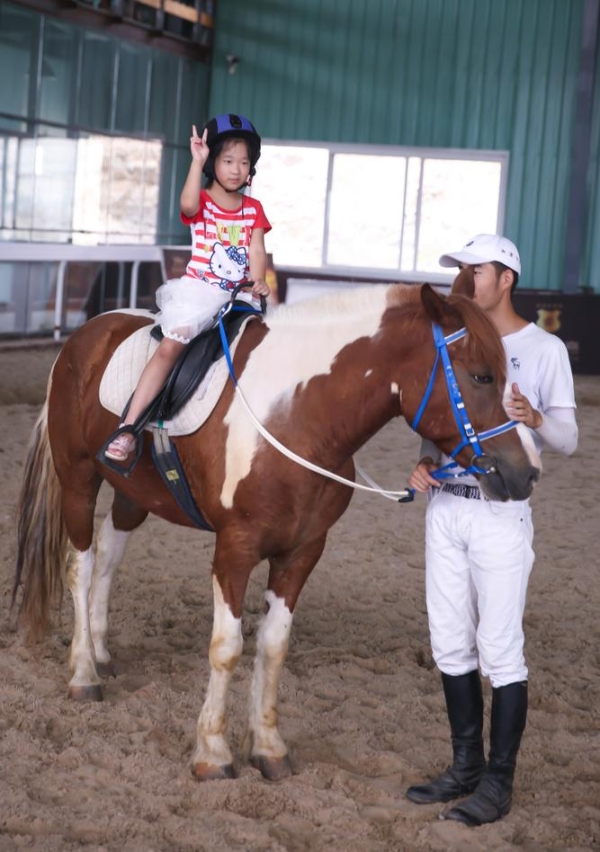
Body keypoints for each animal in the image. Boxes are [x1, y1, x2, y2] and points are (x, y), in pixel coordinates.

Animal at [12, 282, 540, 784]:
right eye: (481, 375)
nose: (527, 472)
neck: (297, 413)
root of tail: (84, 337)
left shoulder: (302, 551)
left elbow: (273, 645)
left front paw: (267, 747)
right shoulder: (235, 549)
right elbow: (227, 648)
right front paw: (213, 753)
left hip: (133, 494)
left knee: (108, 554)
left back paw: (101, 651)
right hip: (79, 481)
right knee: (79, 566)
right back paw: (84, 672)